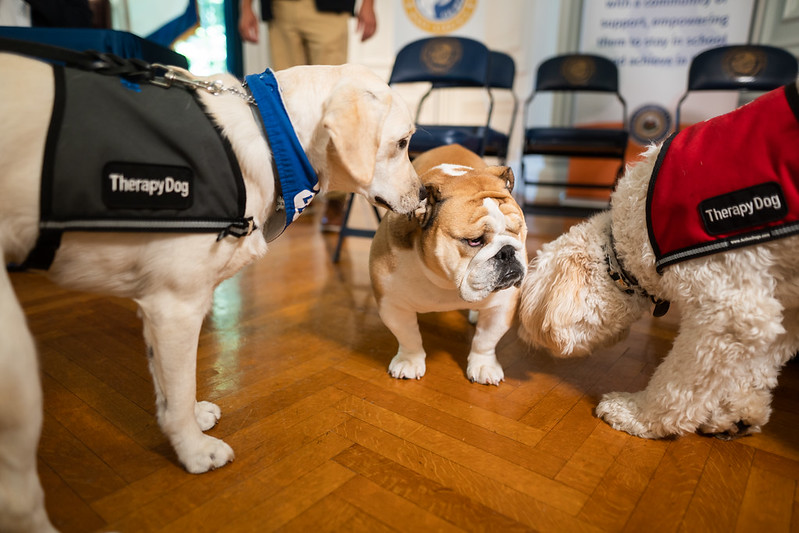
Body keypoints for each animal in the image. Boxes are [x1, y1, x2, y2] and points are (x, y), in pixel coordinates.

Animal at [520, 78, 799, 436]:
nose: (522, 333)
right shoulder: (782, 306)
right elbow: (757, 364)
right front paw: (738, 410)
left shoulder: (727, 310)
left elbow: (681, 381)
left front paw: (642, 415)